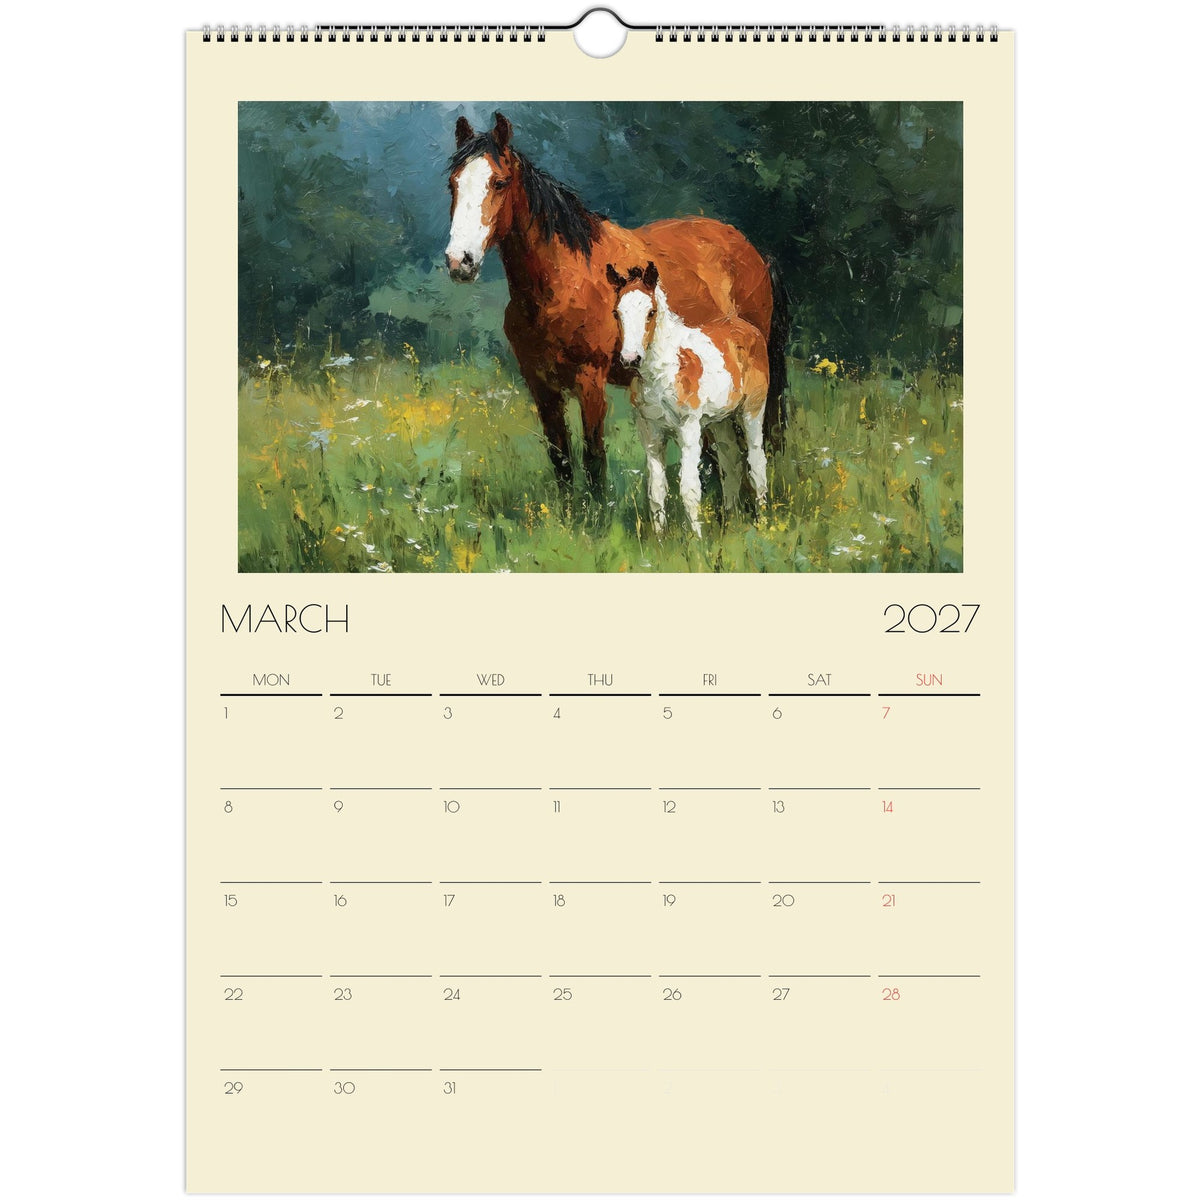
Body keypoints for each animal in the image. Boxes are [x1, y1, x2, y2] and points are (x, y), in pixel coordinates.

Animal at [445, 112, 788, 492]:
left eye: (500, 183)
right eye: (453, 184)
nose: (460, 261)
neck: (562, 283)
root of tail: (753, 251)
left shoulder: (590, 382)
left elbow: (594, 459)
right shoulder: (541, 385)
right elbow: (561, 459)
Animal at [608, 261, 769, 536]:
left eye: (651, 312)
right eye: (617, 313)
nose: (630, 359)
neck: (665, 370)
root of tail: (750, 329)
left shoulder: (689, 428)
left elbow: (689, 489)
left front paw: (697, 541)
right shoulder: (650, 432)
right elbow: (656, 490)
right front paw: (660, 539)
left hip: (752, 411)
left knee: (757, 461)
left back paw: (764, 522)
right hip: (720, 421)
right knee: (731, 462)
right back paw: (730, 522)